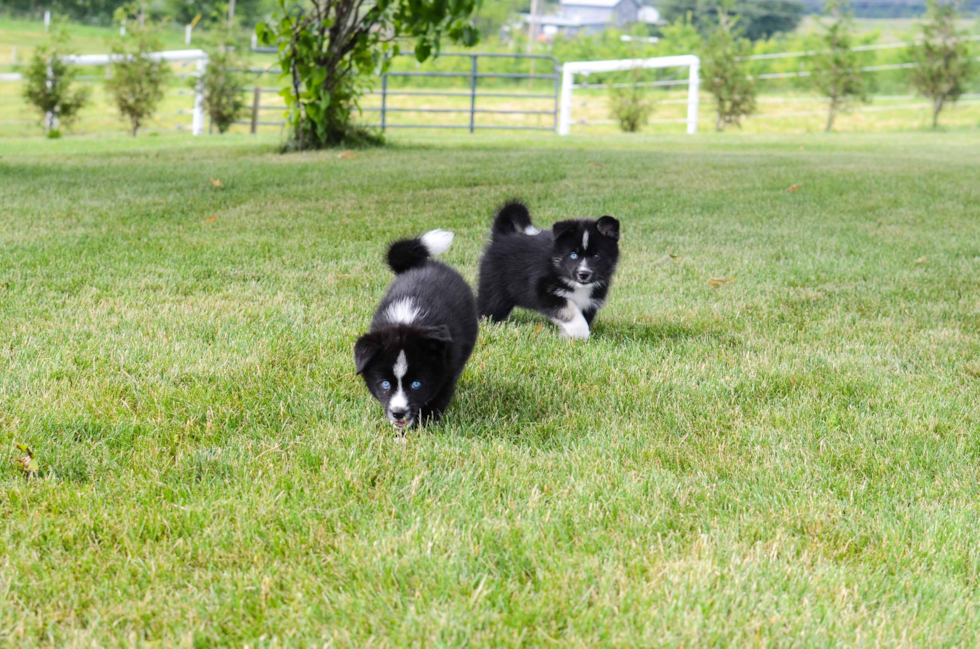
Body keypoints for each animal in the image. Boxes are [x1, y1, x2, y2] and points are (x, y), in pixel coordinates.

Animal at [354, 228, 476, 430]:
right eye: (385, 384)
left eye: (416, 384)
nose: (398, 413)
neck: (407, 320)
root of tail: (423, 264)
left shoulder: (446, 369)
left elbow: (438, 396)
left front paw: (423, 424)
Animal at [476, 201, 620, 340]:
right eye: (573, 255)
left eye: (597, 256)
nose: (583, 274)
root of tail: (502, 236)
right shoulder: (543, 290)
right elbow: (569, 310)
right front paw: (580, 332)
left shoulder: (590, 301)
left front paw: (569, 337)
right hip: (494, 290)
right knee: (488, 307)